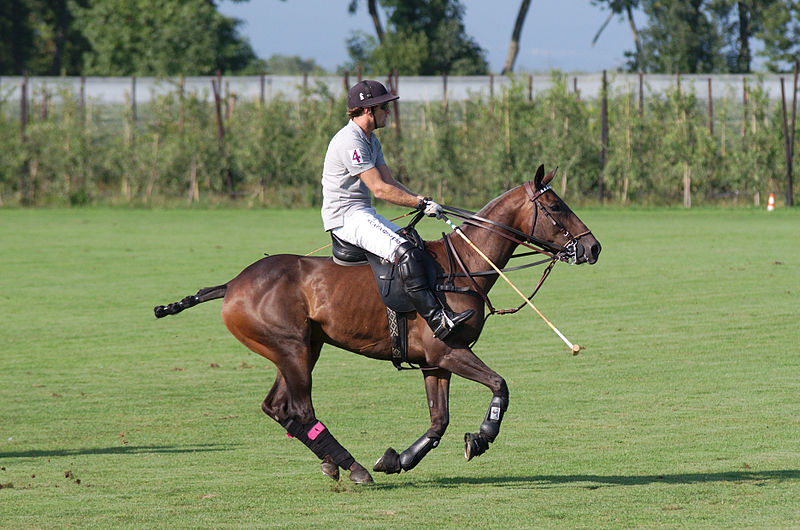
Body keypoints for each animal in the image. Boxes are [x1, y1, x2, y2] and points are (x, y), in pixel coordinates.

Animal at [153, 165, 600, 482]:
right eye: (556, 207)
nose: (593, 247)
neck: (461, 267)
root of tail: (232, 285)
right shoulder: (448, 351)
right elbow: (500, 386)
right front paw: (482, 437)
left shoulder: (434, 362)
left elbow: (439, 421)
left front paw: (398, 459)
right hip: (290, 348)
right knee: (299, 407)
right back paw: (351, 467)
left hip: (301, 348)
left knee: (277, 406)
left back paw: (334, 464)